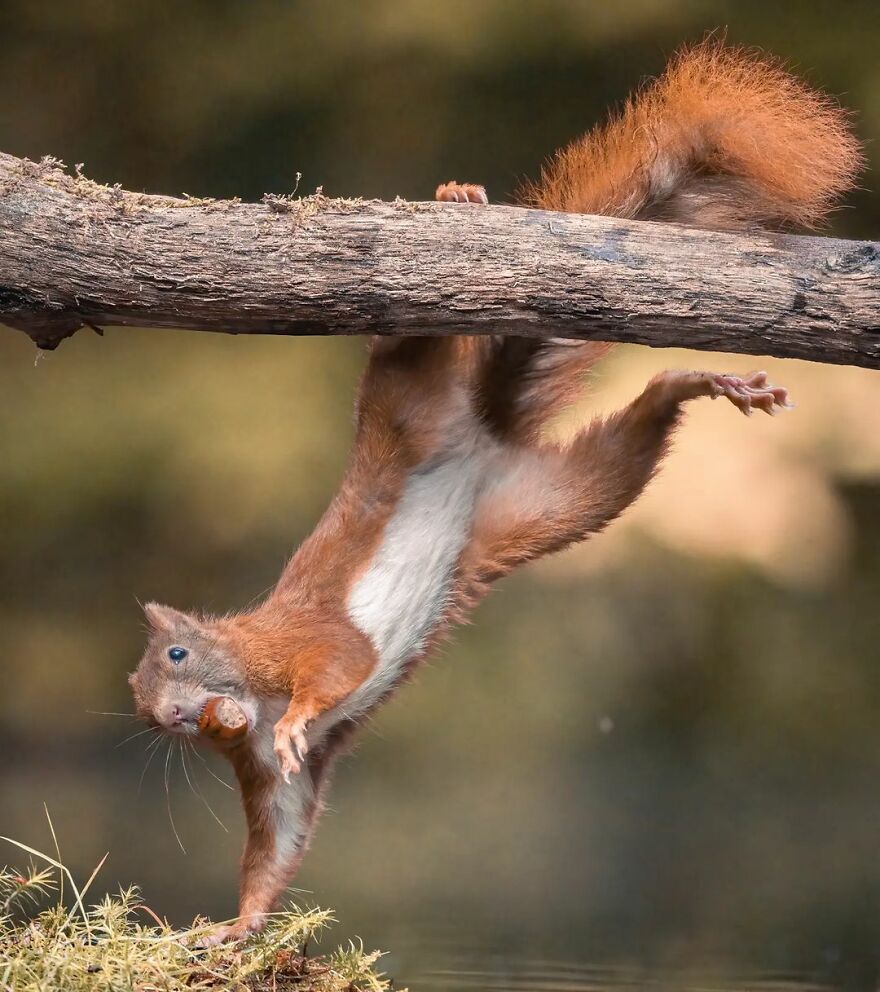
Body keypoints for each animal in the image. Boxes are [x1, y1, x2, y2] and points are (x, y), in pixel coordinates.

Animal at [129, 40, 860, 936]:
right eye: (137, 703)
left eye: (177, 652)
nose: (170, 717)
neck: (248, 701)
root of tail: (482, 441)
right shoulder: (272, 777)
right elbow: (278, 849)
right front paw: (235, 930)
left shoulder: (300, 638)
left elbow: (342, 658)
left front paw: (302, 716)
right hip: (556, 499)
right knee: (628, 438)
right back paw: (681, 386)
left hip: (410, 403)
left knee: (412, 343)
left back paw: (468, 210)